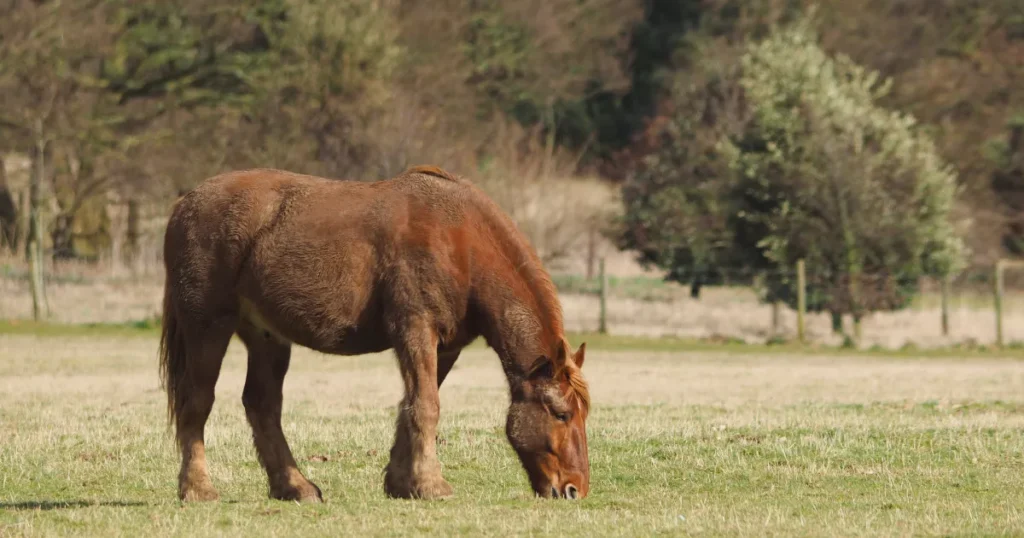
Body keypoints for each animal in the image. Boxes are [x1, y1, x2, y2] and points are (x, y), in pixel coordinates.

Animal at [157, 164, 593, 504]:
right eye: (561, 413)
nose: (575, 490)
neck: (460, 242)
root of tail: (184, 203)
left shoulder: (445, 347)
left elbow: (411, 406)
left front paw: (403, 483)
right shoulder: (416, 330)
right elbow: (426, 406)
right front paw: (432, 485)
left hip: (268, 338)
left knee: (262, 406)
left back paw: (295, 487)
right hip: (207, 327)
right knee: (197, 403)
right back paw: (197, 490)